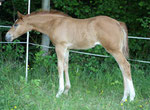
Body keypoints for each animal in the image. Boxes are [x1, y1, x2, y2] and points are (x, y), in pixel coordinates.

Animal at [5, 10, 135, 102]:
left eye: (16, 25)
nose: (7, 37)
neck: (54, 24)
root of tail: (118, 23)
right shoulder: (67, 49)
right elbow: (66, 67)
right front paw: (66, 91)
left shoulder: (59, 47)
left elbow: (59, 67)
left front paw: (59, 93)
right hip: (117, 51)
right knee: (122, 68)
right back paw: (125, 97)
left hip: (114, 50)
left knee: (126, 66)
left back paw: (131, 98)